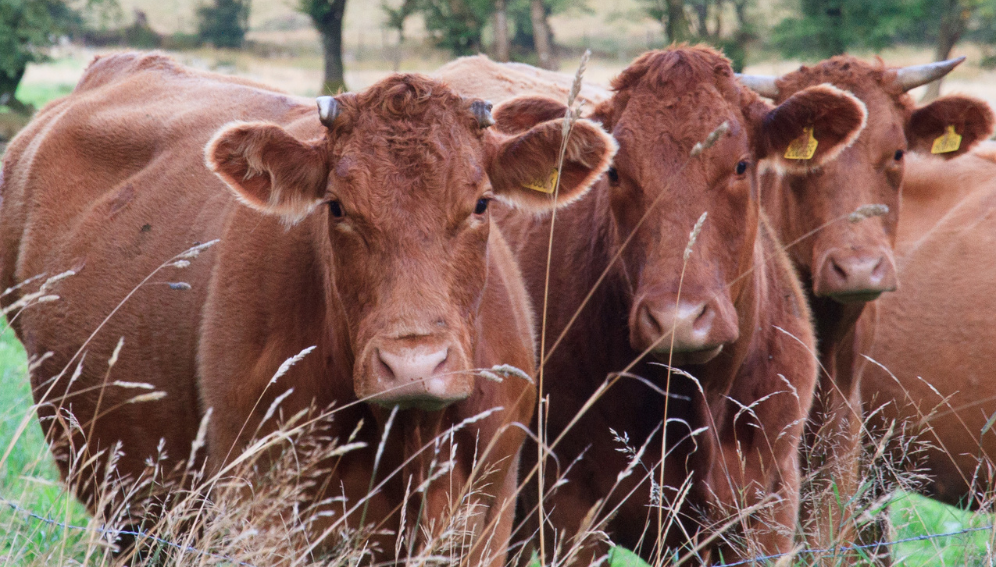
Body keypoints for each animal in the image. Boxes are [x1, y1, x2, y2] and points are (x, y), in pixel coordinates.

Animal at [0, 52, 617, 564]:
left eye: (482, 203)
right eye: (337, 207)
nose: (414, 366)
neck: (411, 438)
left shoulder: (489, 512)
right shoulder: (262, 510)